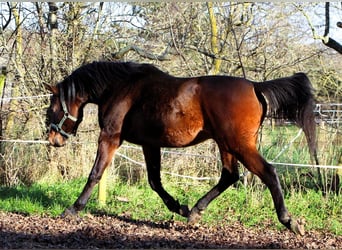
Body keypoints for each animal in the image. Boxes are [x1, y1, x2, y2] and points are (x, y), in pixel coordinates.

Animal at [45, 60, 318, 234]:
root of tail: (255, 86)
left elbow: (95, 174)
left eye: (52, 106)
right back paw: (194, 211)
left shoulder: (110, 137)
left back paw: (289, 221)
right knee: (230, 176)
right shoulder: (150, 144)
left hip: (238, 144)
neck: (121, 88)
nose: (53, 140)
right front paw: (179, 207)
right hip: (226, 144)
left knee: (268, 172)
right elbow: (155, 181)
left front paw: (73, 209)